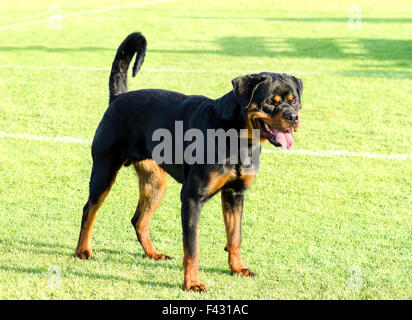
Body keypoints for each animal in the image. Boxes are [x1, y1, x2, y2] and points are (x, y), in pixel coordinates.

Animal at [75, 33, 302, 292]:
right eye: (270, 102)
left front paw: (237, 268)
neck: (237, 138)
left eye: (295, 101)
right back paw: (83, 250)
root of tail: (118, 97)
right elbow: (192, 248)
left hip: (155, 183)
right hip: (104, 170)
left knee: (139, 220)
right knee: (89, 210)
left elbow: (235, 237)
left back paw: (153, 254)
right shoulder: (192, 198)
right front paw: (192, 283)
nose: (294, 117)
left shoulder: (235, 194)